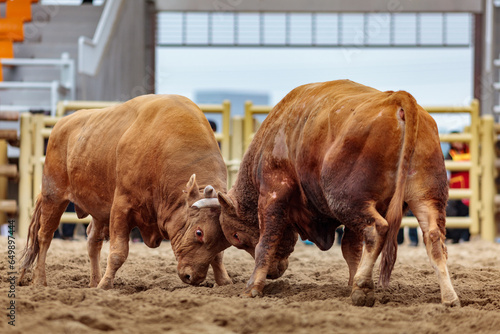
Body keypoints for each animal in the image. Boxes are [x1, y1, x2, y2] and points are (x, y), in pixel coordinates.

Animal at [18, 94, 231, 290]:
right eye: (198, 232)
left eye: (225, 241)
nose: (193, 277)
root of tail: (61, 124)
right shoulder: (121, 206)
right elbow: (118, 252)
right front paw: (105, 285)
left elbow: (218, 257)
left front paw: (225, 281)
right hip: (53, 195)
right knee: (44, 235)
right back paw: (39, 280)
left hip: (98, 209)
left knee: (93, 241)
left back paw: (93, 281)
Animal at [197, 79, 458, 306]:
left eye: (236, 237)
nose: (273, 273)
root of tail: (396, 100)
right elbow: (351, 249)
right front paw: (351, 283)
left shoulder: (273, 193)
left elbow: (266, 241)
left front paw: (253, 287)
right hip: (425, 198)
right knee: (434, 239)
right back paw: (449, 297)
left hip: (347, 200)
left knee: (376, 230)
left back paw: (363, 288)